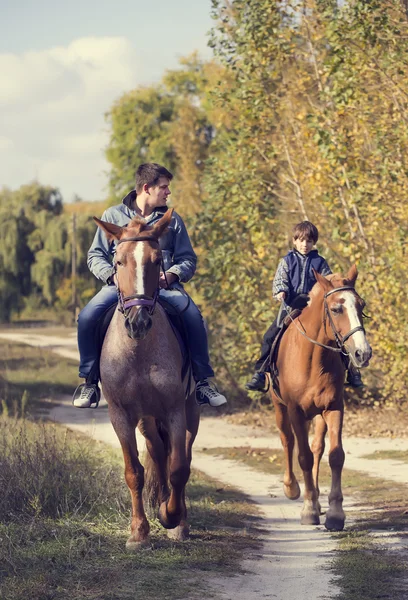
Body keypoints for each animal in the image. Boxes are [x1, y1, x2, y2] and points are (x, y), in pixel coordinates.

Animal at [94, 210, 199, 548]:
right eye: (118, 261)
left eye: (156, 261)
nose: (137, 321)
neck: (138, 350)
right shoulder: (121, 415)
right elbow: (134, 471)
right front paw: (139, 532)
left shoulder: (176, 410)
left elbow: (179, 468)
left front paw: (172, 518)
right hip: (147, 420)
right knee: (156, 451)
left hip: (190, 412)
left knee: (180, 456)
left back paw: (178, 518)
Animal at [270, 266, 372, 528]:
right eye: (336, 309)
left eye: (361, 305)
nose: (363, 353)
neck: (313, 360)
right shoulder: (295, 411)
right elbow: (303, 456)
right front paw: (307, 509)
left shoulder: (334, 407)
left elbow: (335, 455)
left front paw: (335, 514)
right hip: (280, 408)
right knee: (288, 441)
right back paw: (292, 489)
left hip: (317, 414)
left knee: (317, 447)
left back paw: (316, 500)